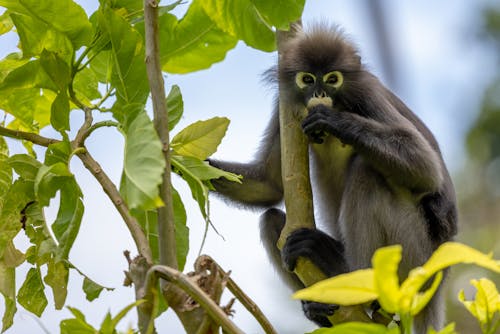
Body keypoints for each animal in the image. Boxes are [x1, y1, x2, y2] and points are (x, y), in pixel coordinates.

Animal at [207, 24, 458, 332]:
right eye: (307, 79)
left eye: (332, 79)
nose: (319, 92)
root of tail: (440, 278)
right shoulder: (285, 108)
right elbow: (269, 185)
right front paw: (180, 162)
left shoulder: (367, 93)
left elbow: (426, 170)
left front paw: (332, 120)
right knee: (272, 222)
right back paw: (321, 307)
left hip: (414, 257)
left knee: (367, 172)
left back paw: (348, 272)